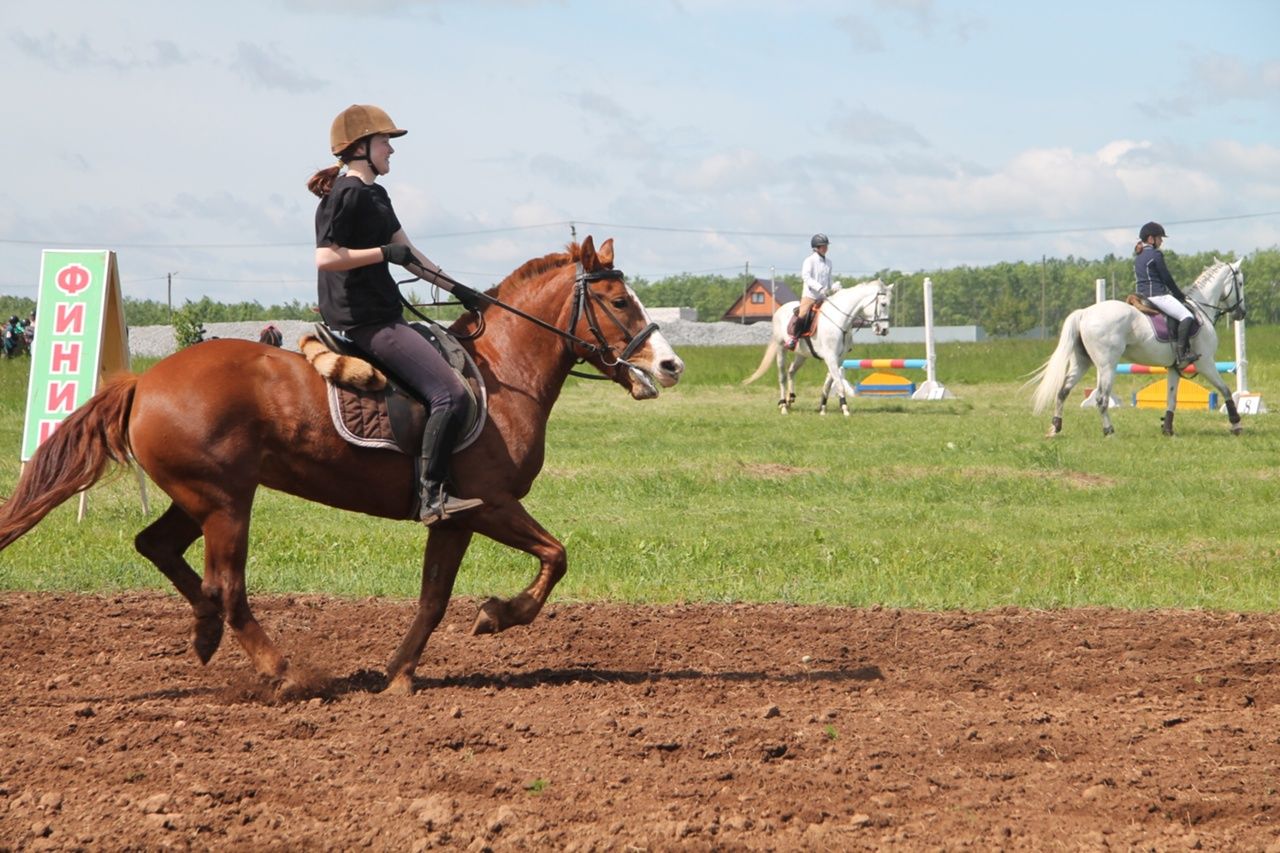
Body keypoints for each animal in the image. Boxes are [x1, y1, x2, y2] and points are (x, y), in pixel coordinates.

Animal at [0, 235, 680, 696]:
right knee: (229, 589)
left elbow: (433, 599)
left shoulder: (454, 519)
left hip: (202, 498)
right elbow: (556, 556)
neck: (502, 374)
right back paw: (282, 672)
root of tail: (143, 380)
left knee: (159, 548)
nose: (670, 366)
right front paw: (496, 616)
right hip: (225, 504)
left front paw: (399, 675)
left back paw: (205, 633)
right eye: (619, 301)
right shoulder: (488, 504)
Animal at [742, 280, 890, 412]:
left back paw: (790, 399)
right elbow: (838, 383)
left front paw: (823, 408)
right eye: (883, 304)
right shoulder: (830, 357)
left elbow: (829, 384)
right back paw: (783, 405)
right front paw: (845, 408)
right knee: (782, 376)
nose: (884, 330)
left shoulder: (839, 358)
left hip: (801, 354)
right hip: (781, 348)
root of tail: (779, 310)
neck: (839, 321)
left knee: (791, 371)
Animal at [1029, 256, 1249, 435]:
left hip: (1082, 362)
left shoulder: (1174, 367)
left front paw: (1167, 429)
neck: (1200, 309)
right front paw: (1236, 424)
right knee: (1101, 398)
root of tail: (1085, 313)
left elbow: (1171, 398)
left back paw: (1055, 428)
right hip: (1107, 365)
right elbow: (1225, 389)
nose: (1242, 313)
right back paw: (1109, 431)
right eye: (1240, 282)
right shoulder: (1206, 363)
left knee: (1063, 391)